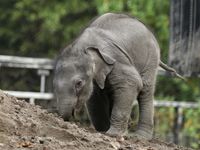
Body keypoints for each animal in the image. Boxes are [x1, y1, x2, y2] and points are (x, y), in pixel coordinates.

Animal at [53, 12, 181, 139]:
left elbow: (133, 82)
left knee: (145, 90)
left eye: (79, 83)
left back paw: (140, 137)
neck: (82, 47)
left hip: (150, 57)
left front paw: (112, 134)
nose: (71, 118)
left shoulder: (116, 60)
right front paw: (103, 131)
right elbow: (95, 97)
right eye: (54, 85)